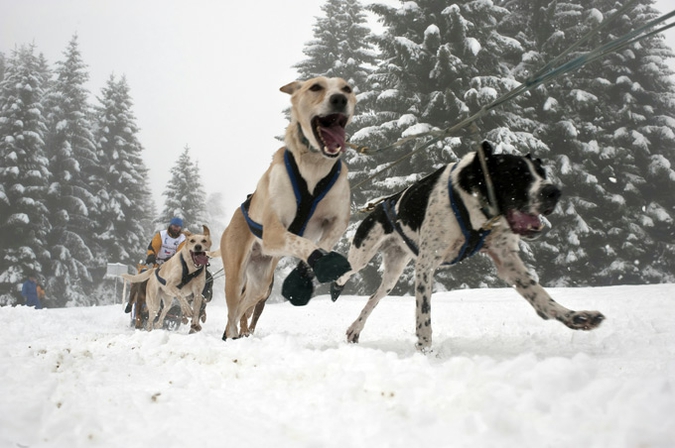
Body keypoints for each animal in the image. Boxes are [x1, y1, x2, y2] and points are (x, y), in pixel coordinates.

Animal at [220, 76, 360, 340]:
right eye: (315, 87)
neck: (314, 166)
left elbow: (321, 244)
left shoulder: (338, 220)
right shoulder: (274, 231)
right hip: (235, 276)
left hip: (261, 282)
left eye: (347, 88)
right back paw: (230, 336)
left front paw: (307, 274)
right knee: (233, 313)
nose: (339, 99)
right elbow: (303, 243)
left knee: (244, 307)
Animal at [332, 142, 608, 352]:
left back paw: (355, 329)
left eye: (542, 173)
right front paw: (425, 352)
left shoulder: (506, 259)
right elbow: (424, 316)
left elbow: (539, 295)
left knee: (373, 298)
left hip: (393, 274)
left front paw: (575, 317)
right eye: (517, 175)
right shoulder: (426, 265)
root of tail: (380, 205)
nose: (553, 192)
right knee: (340, 275)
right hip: (360, 258)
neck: (472, 196)